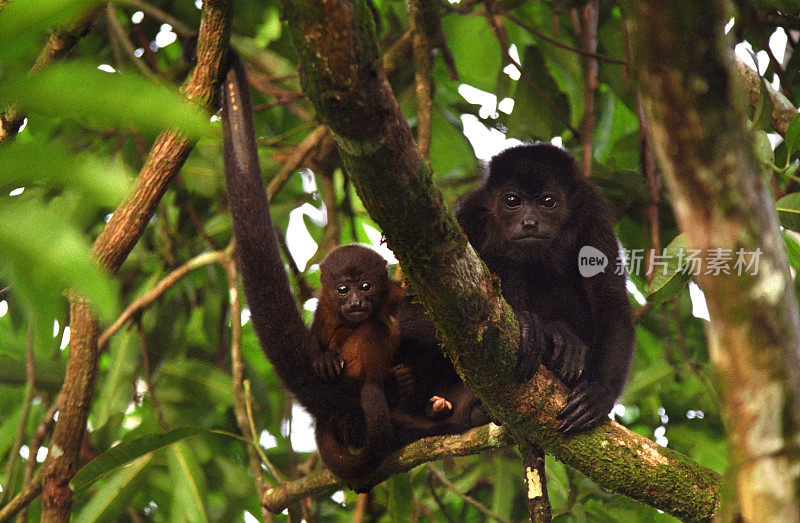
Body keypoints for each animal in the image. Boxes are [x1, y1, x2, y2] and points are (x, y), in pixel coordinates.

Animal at [460, 143, 636, 434]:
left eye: (548, 202)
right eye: (512, 201)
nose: (529, 223)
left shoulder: (593, 216)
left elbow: (611, 305)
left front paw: (598, 393)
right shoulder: (469, 215)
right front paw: (535, 326)